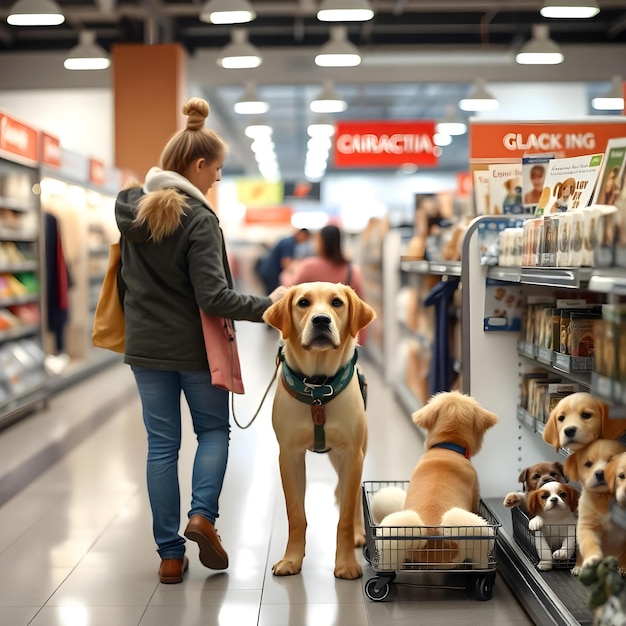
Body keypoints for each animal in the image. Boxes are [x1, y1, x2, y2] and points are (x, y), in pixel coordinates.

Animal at [260, 280, 372, 576]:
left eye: (337, 303)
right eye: (303, 303)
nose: (321, 320)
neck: (318, 389)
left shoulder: (351, 454)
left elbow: (345, 515)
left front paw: (346, 564)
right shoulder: (289, 455)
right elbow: (296, 514)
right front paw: (292, 559)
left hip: (356, 454)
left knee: (353, 497)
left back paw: (360, 533)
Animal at [560, 436, 624, 572]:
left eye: (611, 461)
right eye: (588, 464)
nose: (600, 473)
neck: (604, 497)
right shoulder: (587, 525)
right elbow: (589, 543)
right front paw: (591, 558)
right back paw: (578, 567)